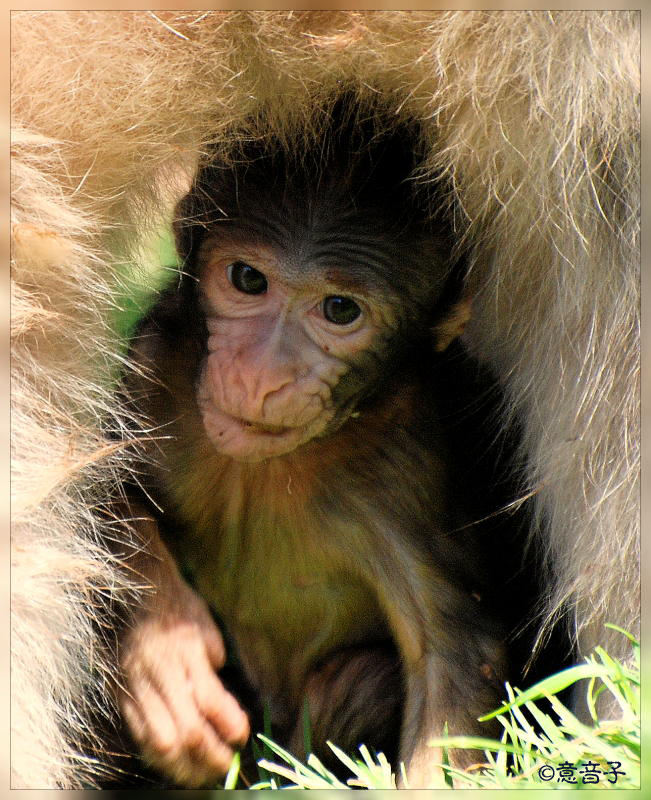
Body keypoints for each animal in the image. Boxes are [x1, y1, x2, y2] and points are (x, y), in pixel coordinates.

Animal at [118, 109, 504, 792]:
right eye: (248, 279)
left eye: (340, 309)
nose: (261, 377)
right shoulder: (158, 360)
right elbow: (97, 496)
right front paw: (167, 657)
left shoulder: (413, 463)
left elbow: (455, 653)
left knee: (362, 682)